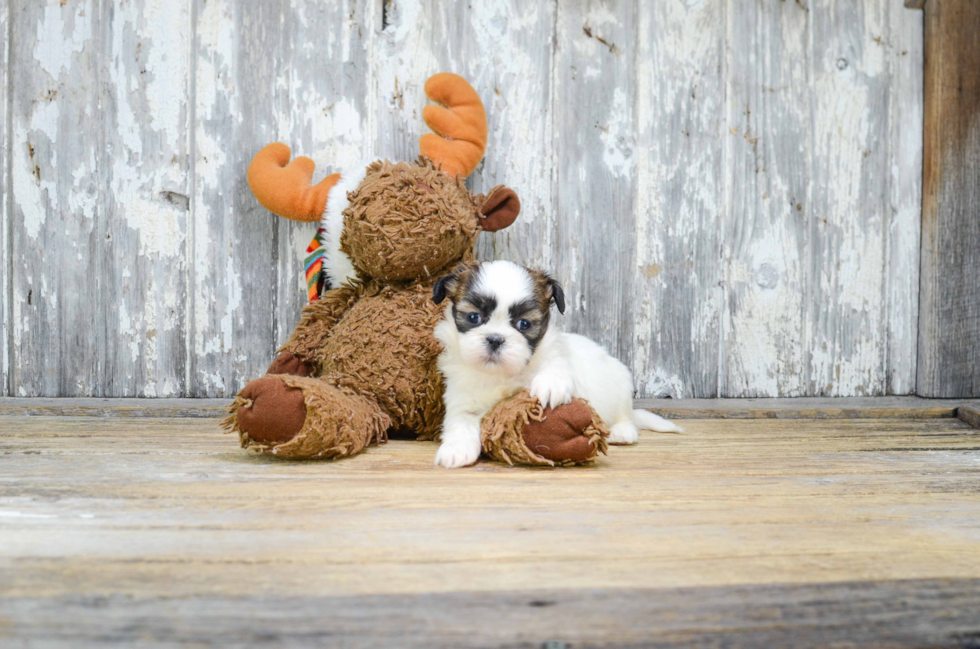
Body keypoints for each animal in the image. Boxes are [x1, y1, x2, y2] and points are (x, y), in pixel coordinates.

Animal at [430, 260, 680, 468]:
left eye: (524, 324)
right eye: (474, 317)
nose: (495, 339)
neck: (501, 374)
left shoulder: (558, 357)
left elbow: (555, 367)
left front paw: (550, 386)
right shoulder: (461, 400)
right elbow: (460, 423)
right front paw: (456, 450)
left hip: (620, 386)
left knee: (625, 416)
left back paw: (622, 432)